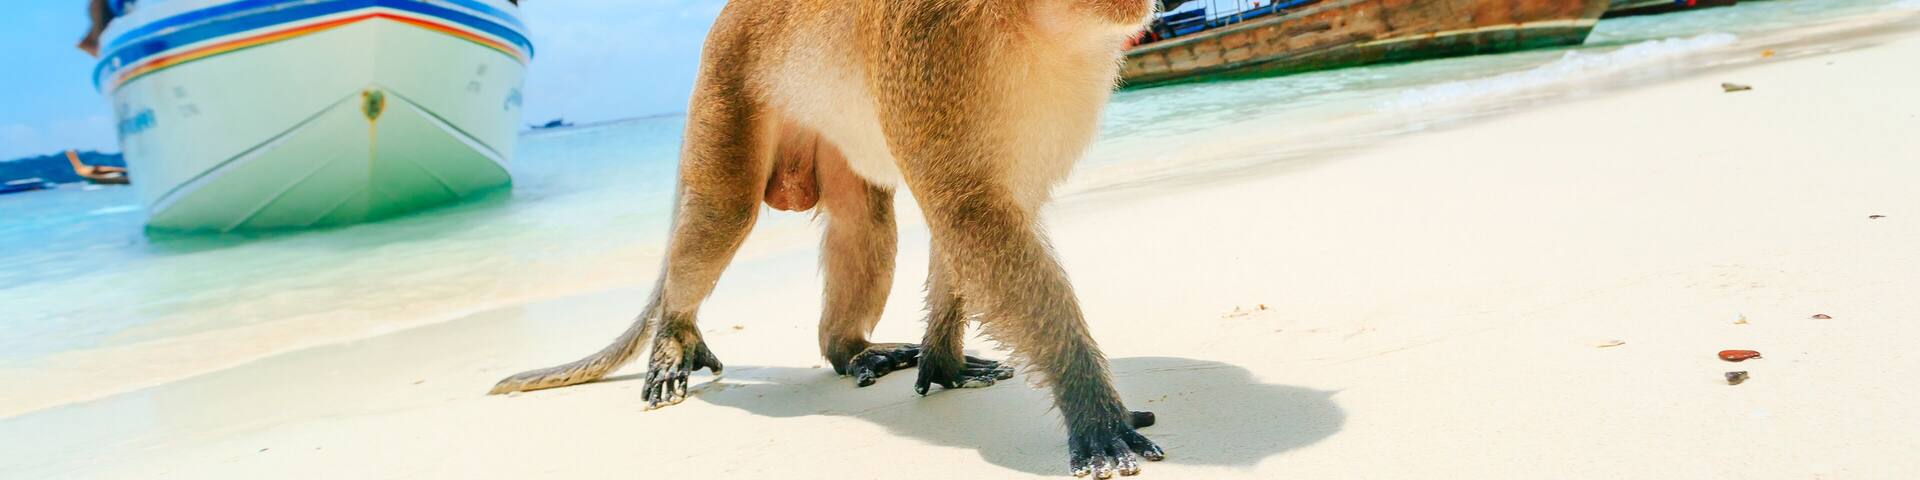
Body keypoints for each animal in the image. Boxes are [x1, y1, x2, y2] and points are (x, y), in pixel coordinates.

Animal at [490, 0, 1163, 476]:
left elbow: (970, 221)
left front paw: (944, 365)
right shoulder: (931, 42)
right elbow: (969, 212)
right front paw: (1094, 412)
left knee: (863, 219)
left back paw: (850, 349)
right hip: (725, 89)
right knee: (722, 213)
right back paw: (673, 340)